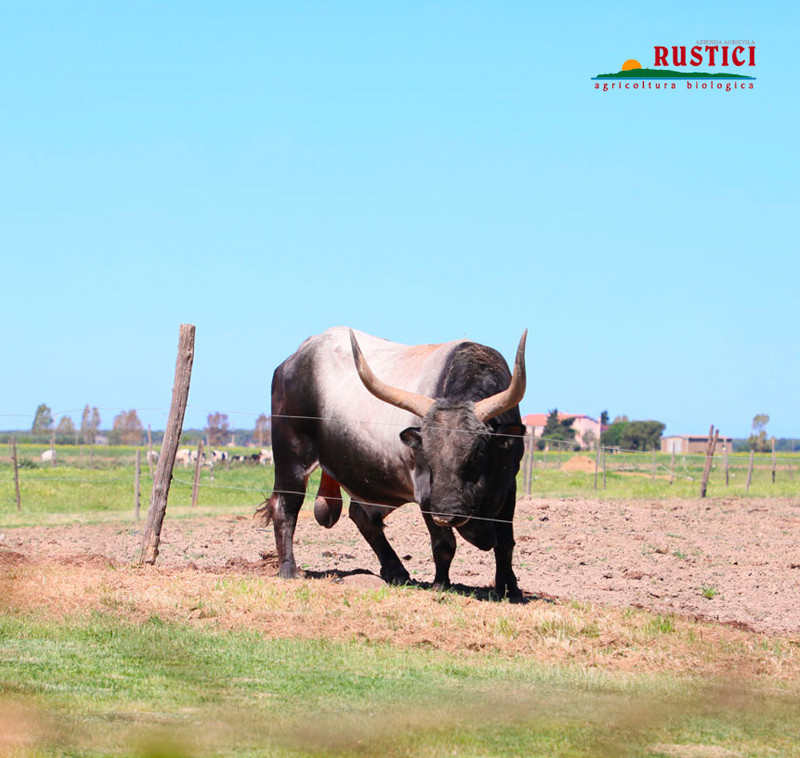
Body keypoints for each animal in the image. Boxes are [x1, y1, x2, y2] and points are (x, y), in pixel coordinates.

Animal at [257, 326, 527, 599]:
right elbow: (444, 544)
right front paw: (441, 584)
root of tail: (295, 357)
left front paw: (510, 588)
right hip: (291, 458)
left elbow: (505, 542)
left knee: (363, 517)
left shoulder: (509, 485)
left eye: (477, 454)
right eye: (427, 456)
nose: (446, 513)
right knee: (285, 507)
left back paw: (396, 570)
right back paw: (289, 570)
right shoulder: (424, 492)